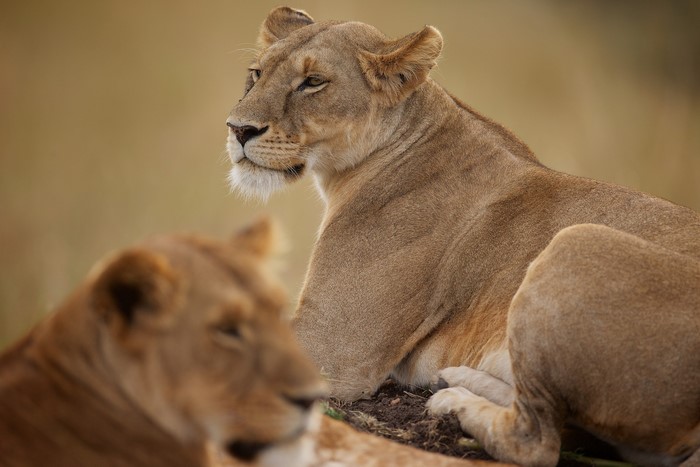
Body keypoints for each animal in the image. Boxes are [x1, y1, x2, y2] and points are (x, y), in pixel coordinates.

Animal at [225, 6, 700, 466]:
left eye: (313, 82)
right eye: (256, 73)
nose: (239, 129)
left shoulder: (333, 352)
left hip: (576, 241)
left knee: (539, 442)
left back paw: (453, 402)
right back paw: (455, 379)